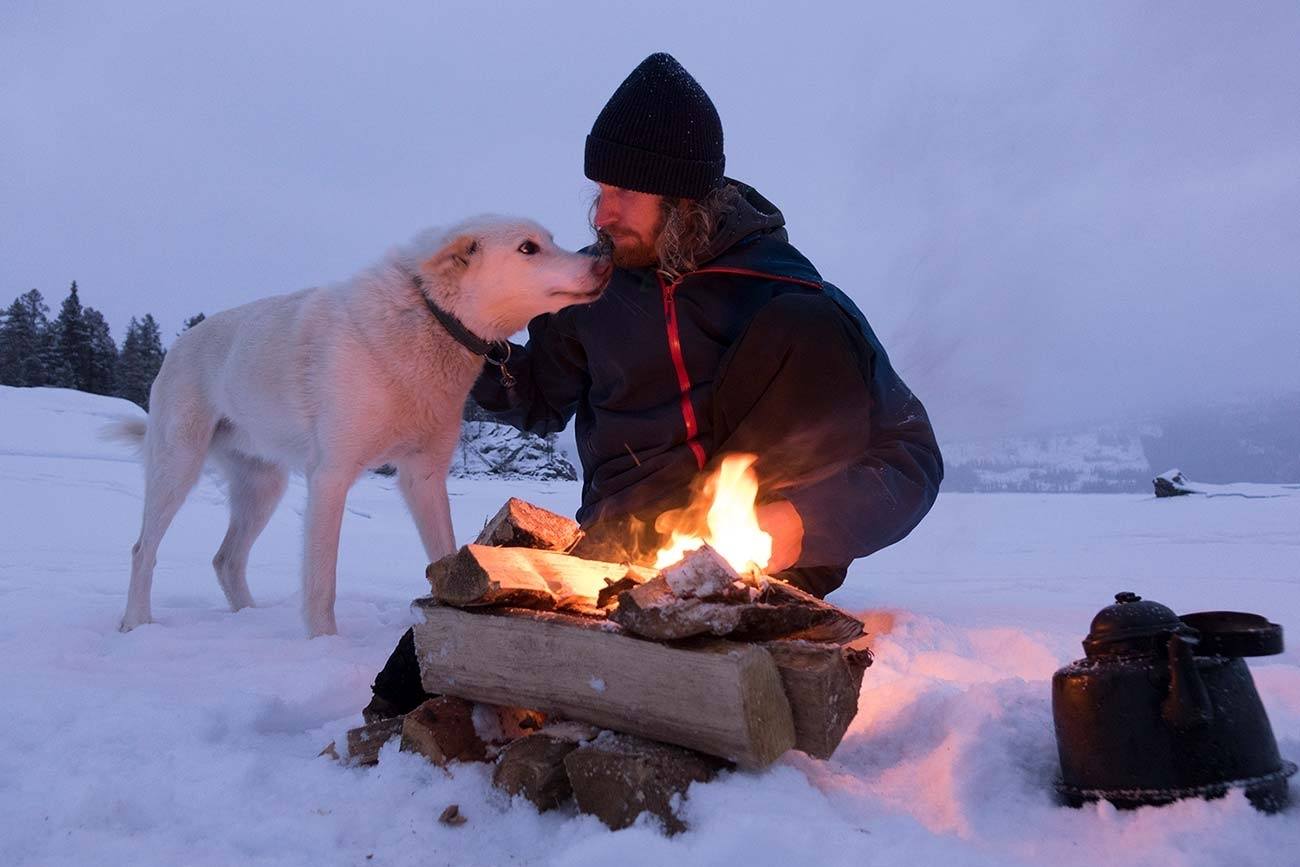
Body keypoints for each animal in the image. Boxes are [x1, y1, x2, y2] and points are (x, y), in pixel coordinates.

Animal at [116, 217, 608, 636]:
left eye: (550, 241)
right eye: (529, 248)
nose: (604, 260)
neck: (429, 318)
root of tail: (178, 344)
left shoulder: (424, 476)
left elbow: (444, 551)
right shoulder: (331, 477)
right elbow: (322, 584)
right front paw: (323, 645)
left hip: (263, 488)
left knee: (226, 559)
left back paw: (247, 619)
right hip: (178, 469)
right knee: (143, 550)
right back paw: (136, 623)